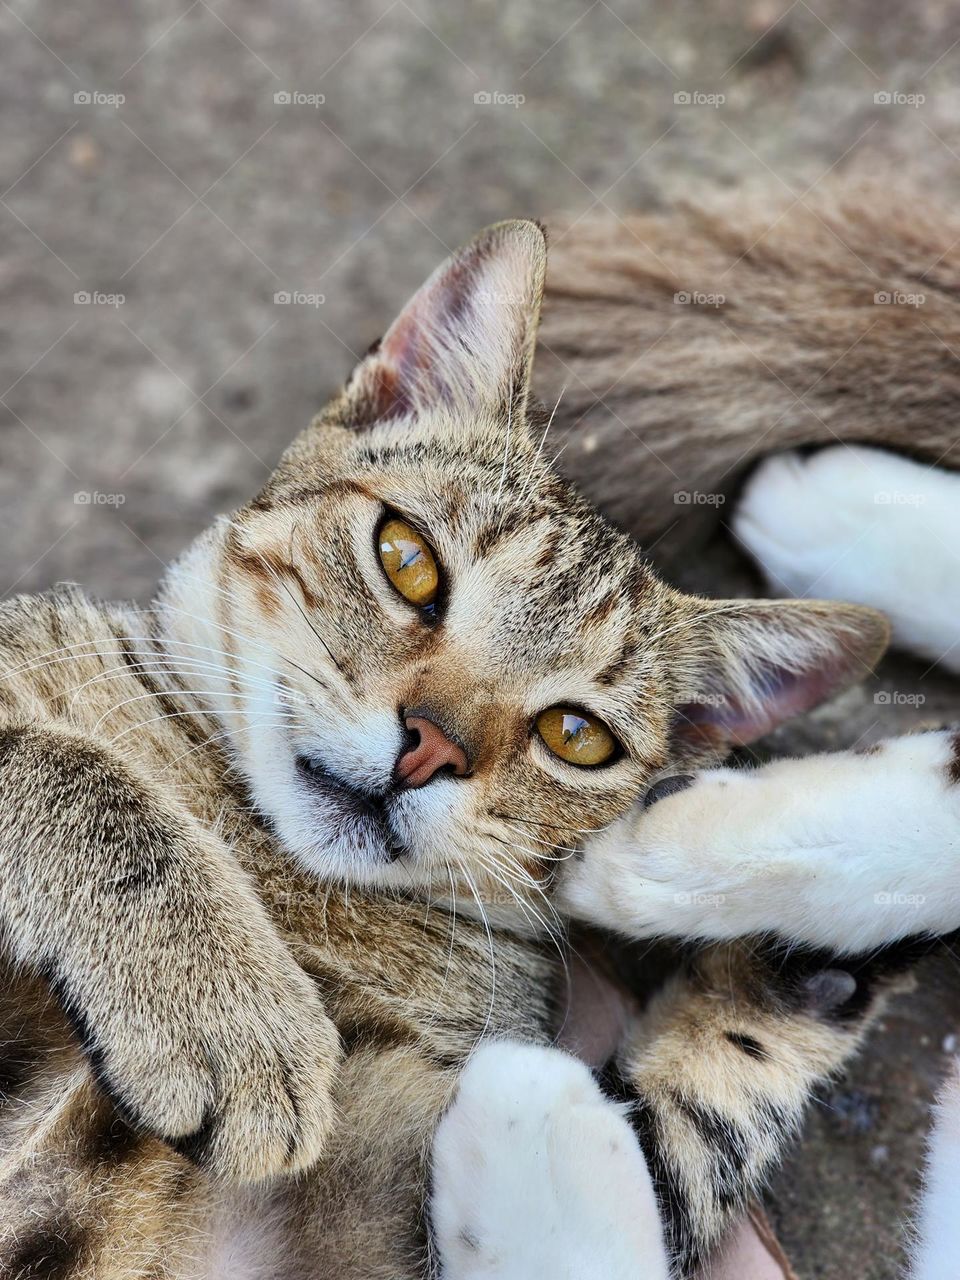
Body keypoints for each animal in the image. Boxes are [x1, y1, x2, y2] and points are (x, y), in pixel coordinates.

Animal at [1, 185, 957, 1274]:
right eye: (407, 558)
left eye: (576, 734)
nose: (430, 744)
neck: (272, 873)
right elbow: (66, 763)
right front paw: (221, 1005)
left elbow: (677, 1143)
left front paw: (805, 954)